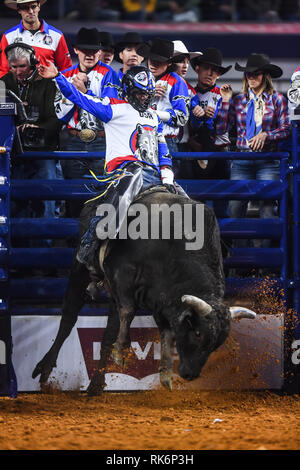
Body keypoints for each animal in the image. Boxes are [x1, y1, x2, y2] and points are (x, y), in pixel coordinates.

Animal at [32, 189, 255, 394]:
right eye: (198, 333)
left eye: (218, 343)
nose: (191, 375)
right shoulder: (120, 274)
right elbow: (129, 310)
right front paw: (122, 352)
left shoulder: (162, 300)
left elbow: (165, 331)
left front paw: (165, 373)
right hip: (80, 268)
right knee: (69, 316)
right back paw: (44, 369)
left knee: (107, 334)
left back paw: (95, 386)